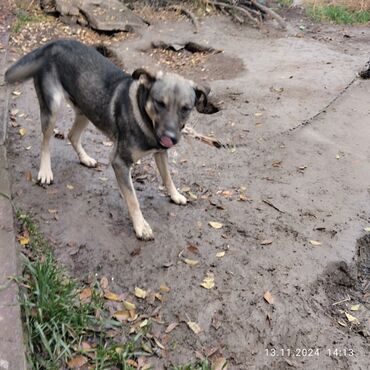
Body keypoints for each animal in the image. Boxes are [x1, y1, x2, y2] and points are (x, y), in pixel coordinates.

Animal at [5, 39, 210, 240]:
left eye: (186, 108)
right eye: (160, 103)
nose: (170, 138)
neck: (144, 115)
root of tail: (52, 43)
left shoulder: (161, 153)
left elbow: (167, 177)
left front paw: (175, 194)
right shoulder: (120, 162)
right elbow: (133, 199)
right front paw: (140, 226)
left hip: (86, 109)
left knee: (72, 135)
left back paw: (85, 159)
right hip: (53, 106)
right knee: (46, 142)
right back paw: (45, 171)